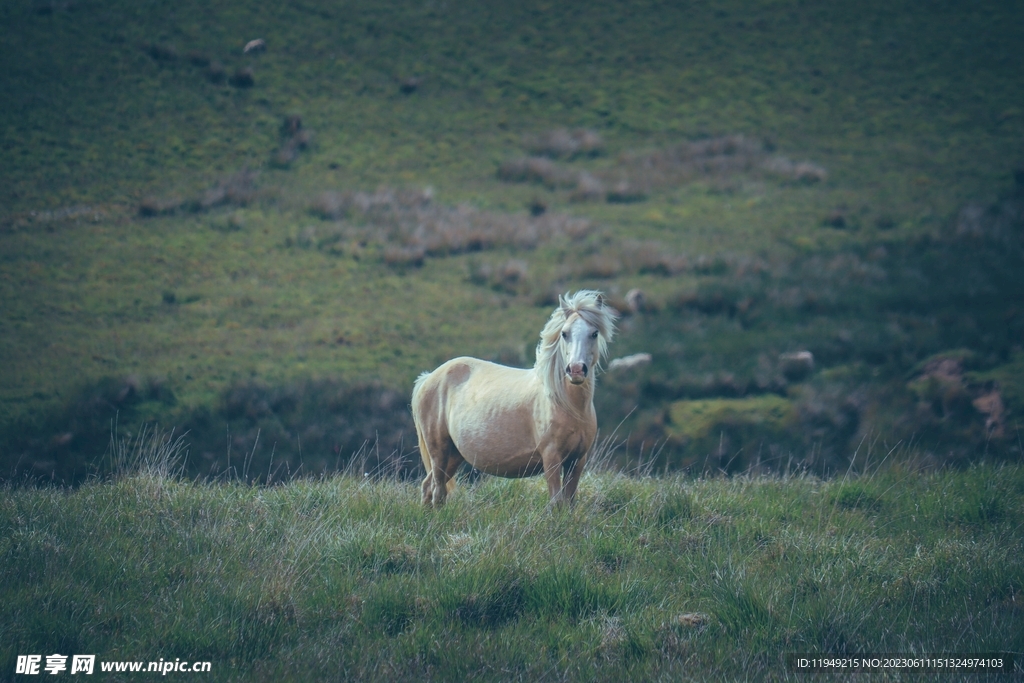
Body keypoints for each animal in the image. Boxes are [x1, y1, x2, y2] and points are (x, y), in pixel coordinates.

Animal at [412, 290, 617, 507]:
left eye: (594, 333)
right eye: (564, 333)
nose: (576, 370)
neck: (568, 406)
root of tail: (428, 378)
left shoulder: (577, 461)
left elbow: (569, 503)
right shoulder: (552, 458)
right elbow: (556, 502)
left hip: (455, 454)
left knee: (428, 486)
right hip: (439, 451)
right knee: (437, 491)